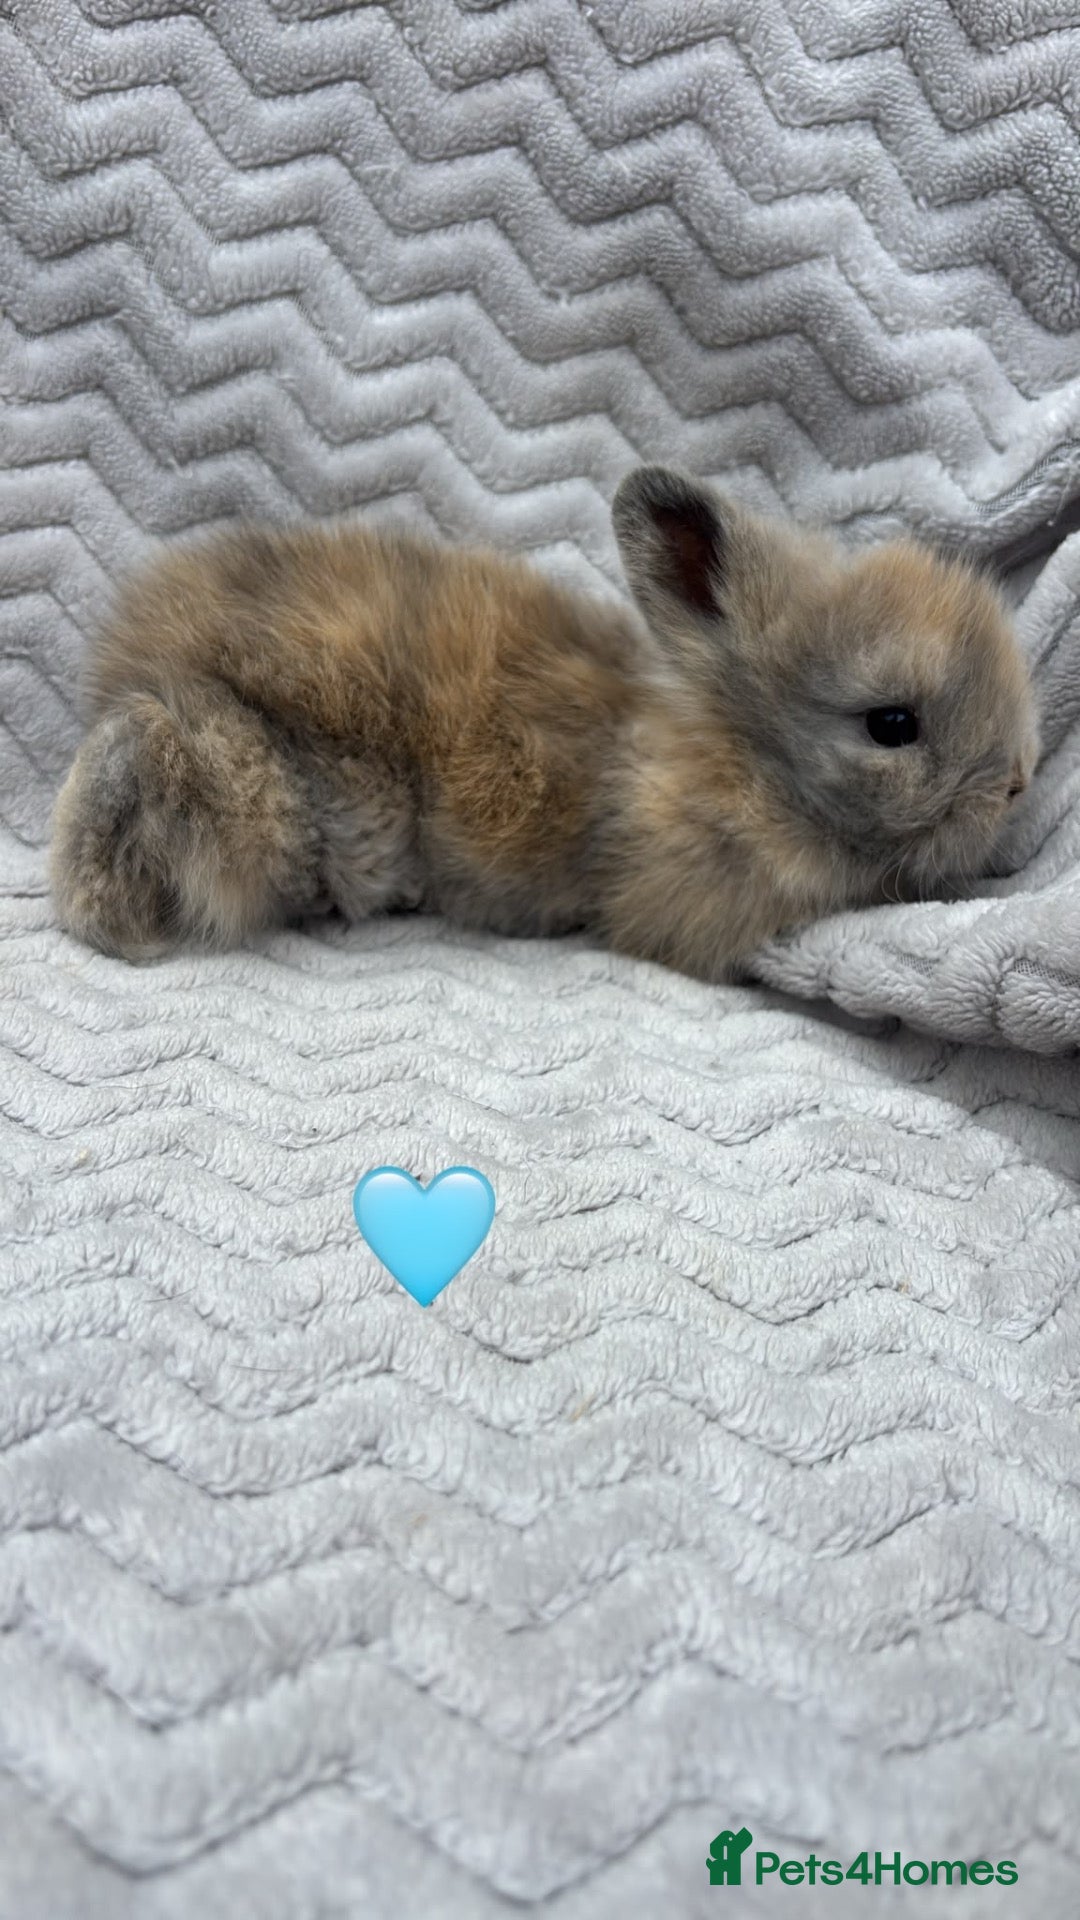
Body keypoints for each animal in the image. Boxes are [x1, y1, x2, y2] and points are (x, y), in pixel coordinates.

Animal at [50, 466, 1039, 983]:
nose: (1020, 782)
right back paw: (114, 924)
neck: (742, 754)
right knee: (132, 757)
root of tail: (142, 648)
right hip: (250, 788)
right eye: (893, 724)